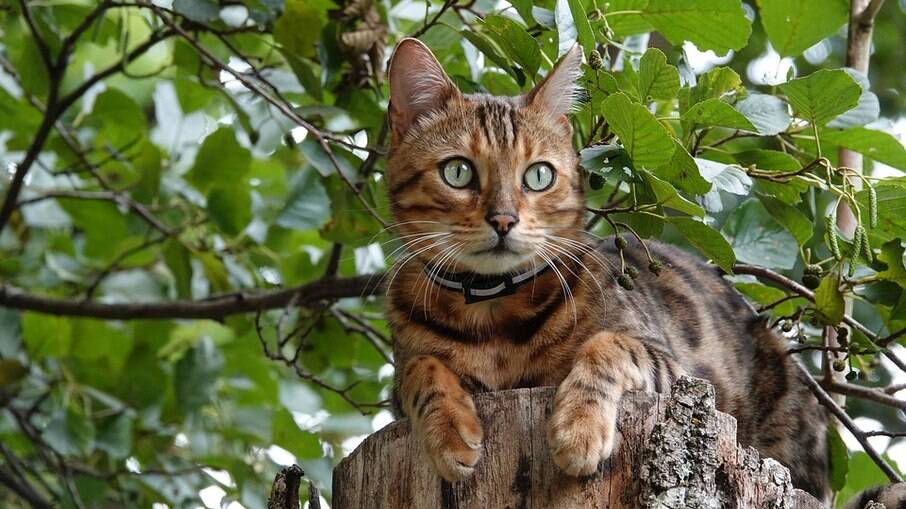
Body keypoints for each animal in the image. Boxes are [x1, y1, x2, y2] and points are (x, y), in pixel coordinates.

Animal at [382, 38, 832, 500]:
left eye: (539, 176)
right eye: (457, 172)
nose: (504, 219)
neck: (494, 313)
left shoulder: (675, 369)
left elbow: (609, 346)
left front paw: (579, 428)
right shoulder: (403, 378)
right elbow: (420, 369)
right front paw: (448, 432)